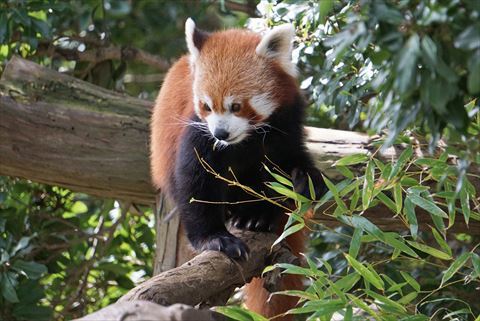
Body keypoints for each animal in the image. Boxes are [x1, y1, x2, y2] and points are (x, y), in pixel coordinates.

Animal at [151, 18, 326, 318]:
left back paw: (256, 217)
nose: (221, 133)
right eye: (207, 106)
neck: (245, 139)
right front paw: (214, 239)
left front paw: (305, 180)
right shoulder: (197, 132)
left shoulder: (286, 122)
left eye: (236, 106)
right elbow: (195, 183)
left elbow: (289, 162)